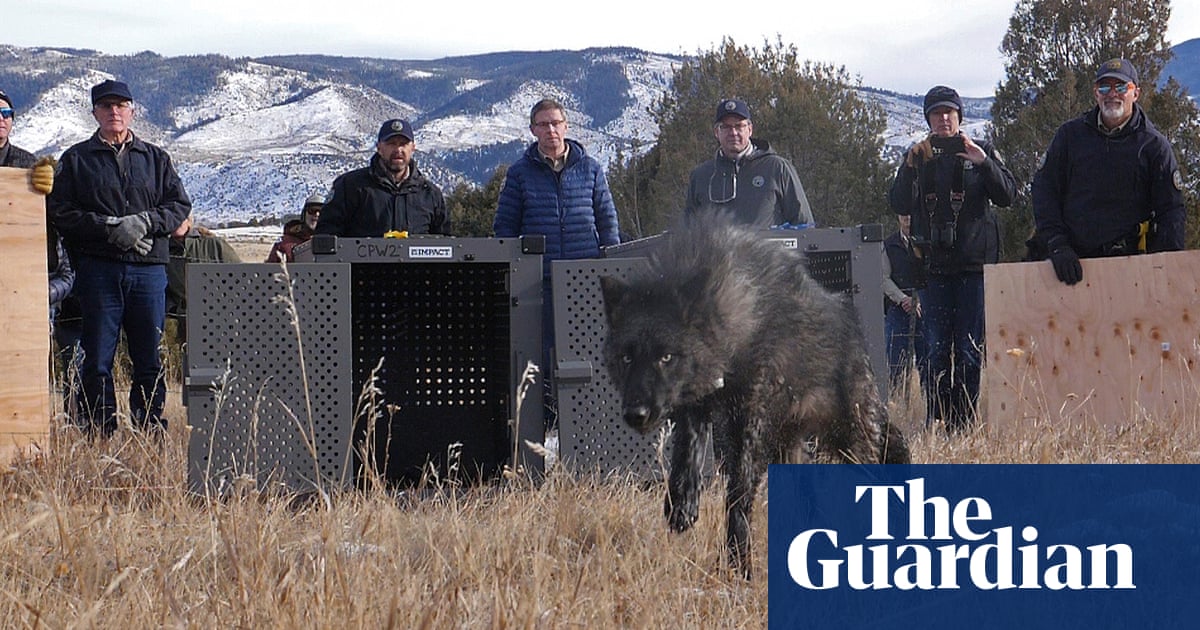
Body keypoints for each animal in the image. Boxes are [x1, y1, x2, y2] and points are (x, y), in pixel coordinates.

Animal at [600, 216, 909, 578]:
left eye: (666, 357)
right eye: (627, 358)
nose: (636, 413)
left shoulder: (752, 421)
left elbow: (738, 493)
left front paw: (738, 564)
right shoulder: (697, 407)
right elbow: (687, 457)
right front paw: (682, 505)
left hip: (847, 437)